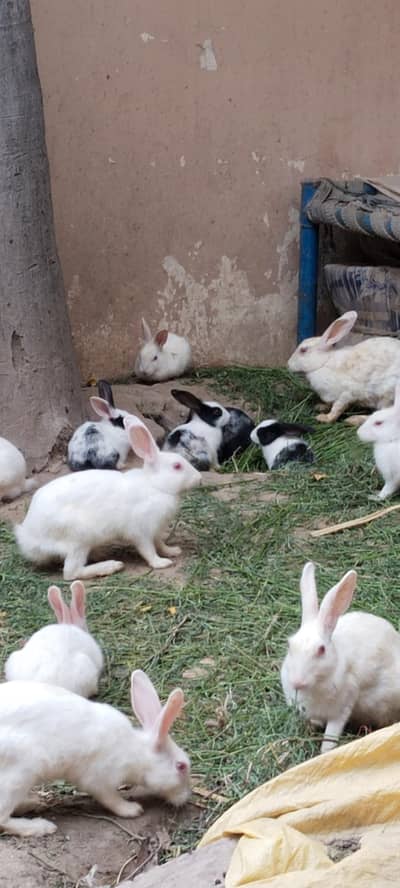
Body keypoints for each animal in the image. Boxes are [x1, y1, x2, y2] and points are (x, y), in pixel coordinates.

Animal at [0, 669, 190, 837]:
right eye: (181, 766)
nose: (185, 798)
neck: (135, 751)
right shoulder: (99, 779)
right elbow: (111, 799)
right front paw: (132, 809)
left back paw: (31, 803)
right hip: (18, 776)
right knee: (3, 819)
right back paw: (41, 827)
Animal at [15, 416, 201, 579]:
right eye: (177, 466)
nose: (199, 478)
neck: (154, 485)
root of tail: (28, 537)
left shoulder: (155, 530)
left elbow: (160, 543)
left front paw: (173, 551)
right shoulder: (141, 531)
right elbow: (148, 550)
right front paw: (161, 563)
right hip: (78, 539)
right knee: (71, 573)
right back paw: (111, 566)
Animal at [281, 561, 400, 753]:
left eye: (321, 649)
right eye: (289, 644)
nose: (297, 682)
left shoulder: (342, 708)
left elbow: (331, 735)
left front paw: (325, 752)